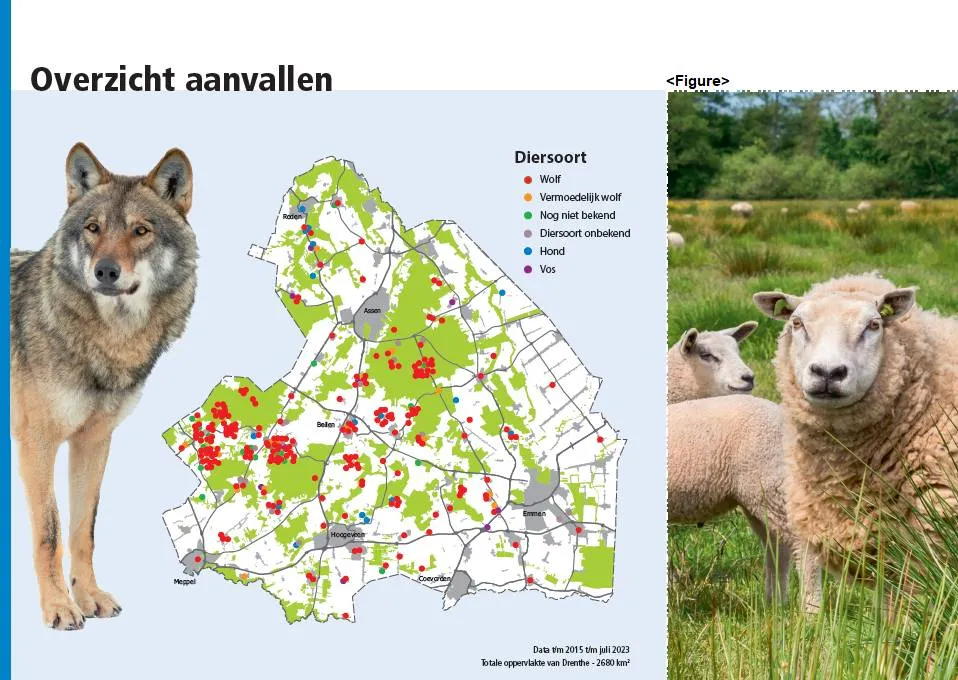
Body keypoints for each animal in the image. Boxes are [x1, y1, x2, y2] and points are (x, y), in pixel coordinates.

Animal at [10, 143, 197, 630]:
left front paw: (88, 597)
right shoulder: (38, 443)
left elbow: (83, 529)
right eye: (93, 228)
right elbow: (50, 532)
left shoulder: (93, 441)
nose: (106, 271)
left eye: (140, 230)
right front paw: (58, 607)